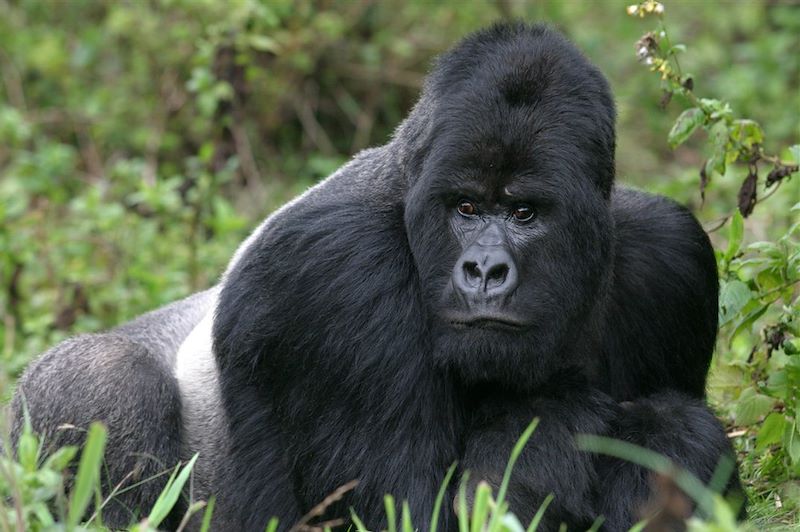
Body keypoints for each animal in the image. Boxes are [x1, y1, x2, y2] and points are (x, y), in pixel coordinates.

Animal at [10, 22, 744, 532]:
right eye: (466, 208)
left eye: (525, 212)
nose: (484, 270)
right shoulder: (339, 271)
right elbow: (411, 508)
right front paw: (557, 418)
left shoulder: (671, 256)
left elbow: (677, 424)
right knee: (109, 378)